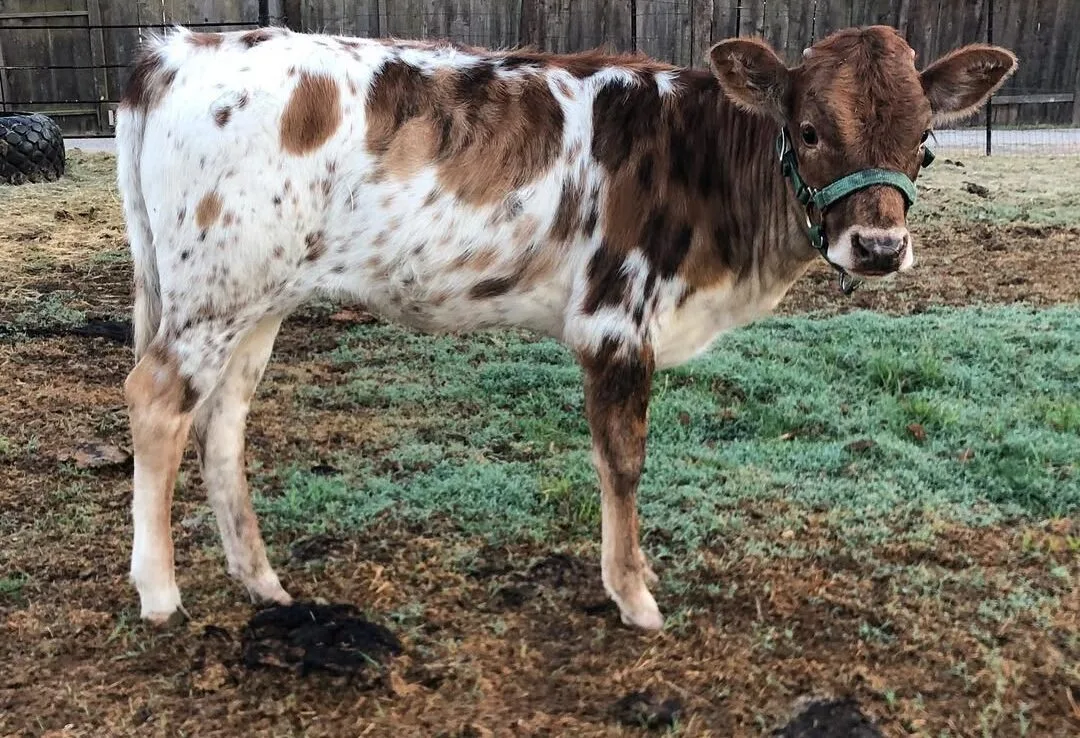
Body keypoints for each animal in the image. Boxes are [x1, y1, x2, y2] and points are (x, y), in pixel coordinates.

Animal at [116, 24, 1016, 631]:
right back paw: (160, 594)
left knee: (224, 420)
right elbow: (623, 462)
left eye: (924, 140)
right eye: (808, 129)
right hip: (215, 289)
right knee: (158, 400)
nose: (878, 247)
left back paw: (260, 581)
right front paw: (635, 594)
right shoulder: (615, 319)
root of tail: (179, 49)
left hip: (256, 296)